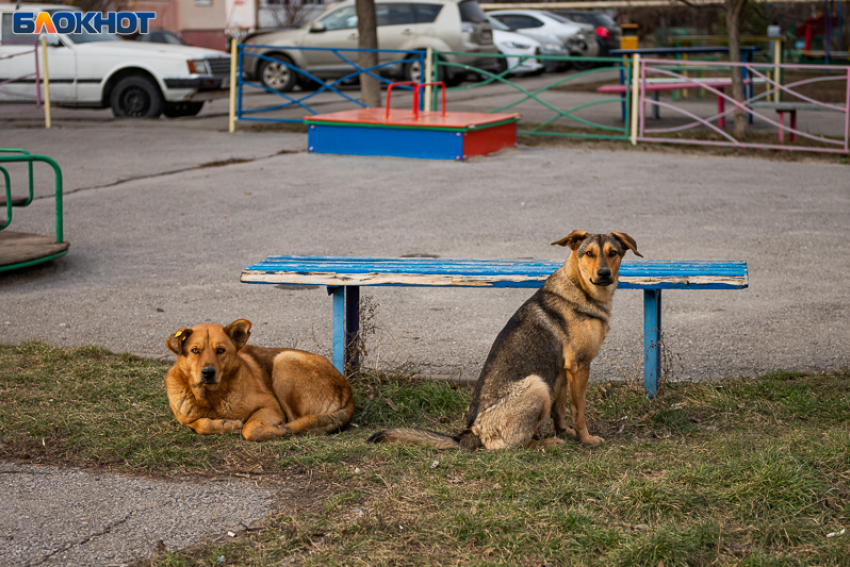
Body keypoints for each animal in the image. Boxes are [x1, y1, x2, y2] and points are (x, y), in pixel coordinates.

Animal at [164, 320, 352, 444]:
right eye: (195, 350)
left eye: (221, 350)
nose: (208, 373)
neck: (212, 399)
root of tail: (348, 391)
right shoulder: (187, 417)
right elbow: (199, 424)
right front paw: (227, 424)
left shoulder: (270, 405)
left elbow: (249, 429)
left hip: (283, 362)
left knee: (296, 421)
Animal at [368, 232, 640, 452]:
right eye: (589, 253)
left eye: (613, 253)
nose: (604, 274)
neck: (579, 288)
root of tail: (471, 433)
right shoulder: (580, 366)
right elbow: (579, 411)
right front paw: (586, 439)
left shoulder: (563, 370)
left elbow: (560, 411)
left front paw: (567, 431)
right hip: (538, 385)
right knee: (511, 445)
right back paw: (548, 442)